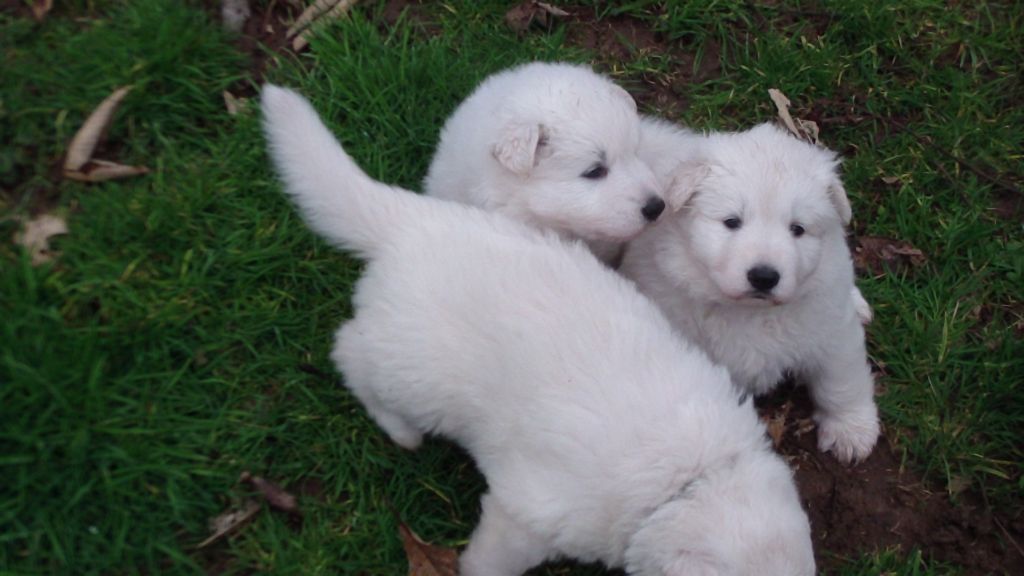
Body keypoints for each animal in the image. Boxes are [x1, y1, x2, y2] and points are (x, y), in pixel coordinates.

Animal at [262, 86, 815, 573]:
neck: (693, 478)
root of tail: (415, 219)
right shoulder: (526, 513)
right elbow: (491, 560)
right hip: (412, 369)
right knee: (350, 352)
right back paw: (400, 430)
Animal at [622, 119, 880, 461]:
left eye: (797, 229)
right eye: (732, 222)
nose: (764, 276)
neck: (750, 312)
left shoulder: (831, 328)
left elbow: (841, 380)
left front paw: (851, 431)